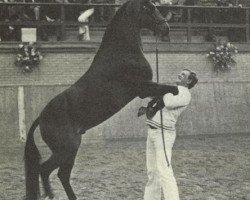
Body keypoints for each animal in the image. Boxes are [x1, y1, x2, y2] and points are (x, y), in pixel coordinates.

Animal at [24, 0, 178, 199]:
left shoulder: (147, 89)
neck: (122, 52)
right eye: (147, 8)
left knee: (60, 174)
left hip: (68, 150)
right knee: (46, 170)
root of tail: (41, 118)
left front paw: (150, 109)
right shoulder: (144, 88)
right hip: (67, 148)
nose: (165, 28)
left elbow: (162, 95)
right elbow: (172, 89)